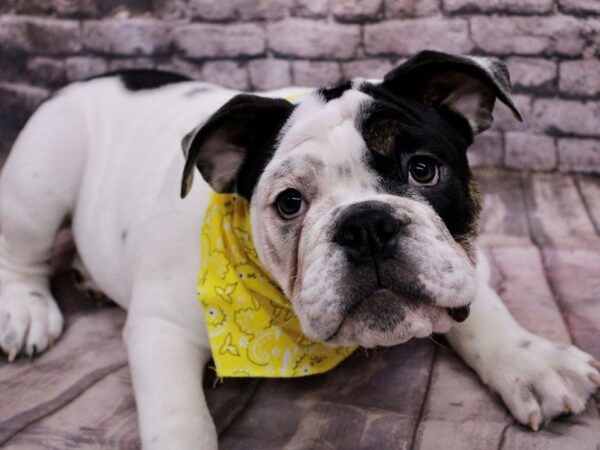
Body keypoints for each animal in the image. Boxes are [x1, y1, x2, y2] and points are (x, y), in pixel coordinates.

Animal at [0, 51, 596, 448]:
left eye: (423, 169)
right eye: (290, 203)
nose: (366, 224)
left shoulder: (461, 258)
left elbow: (482, 308)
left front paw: (533, 363)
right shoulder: (160, 329)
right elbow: (180, 418)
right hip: (42, 178)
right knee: (21, 252)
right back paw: (27, 310)